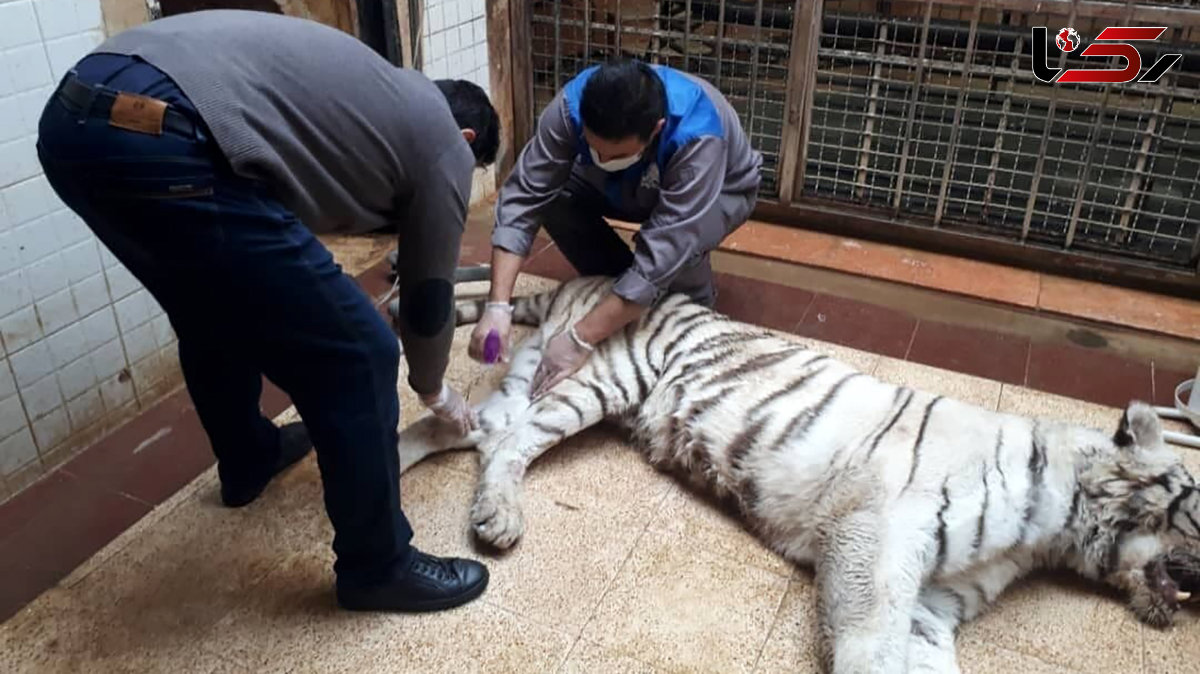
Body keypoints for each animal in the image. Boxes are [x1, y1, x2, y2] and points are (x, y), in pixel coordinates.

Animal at [398, 274, 1200, 671]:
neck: (1059, 529)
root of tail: (585, 273)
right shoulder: (878, 534)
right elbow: (871, 643)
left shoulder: (933, 605)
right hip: (600, 380)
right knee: (509, 443)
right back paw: (499, 518)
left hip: (532, 385)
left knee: (462, 428)